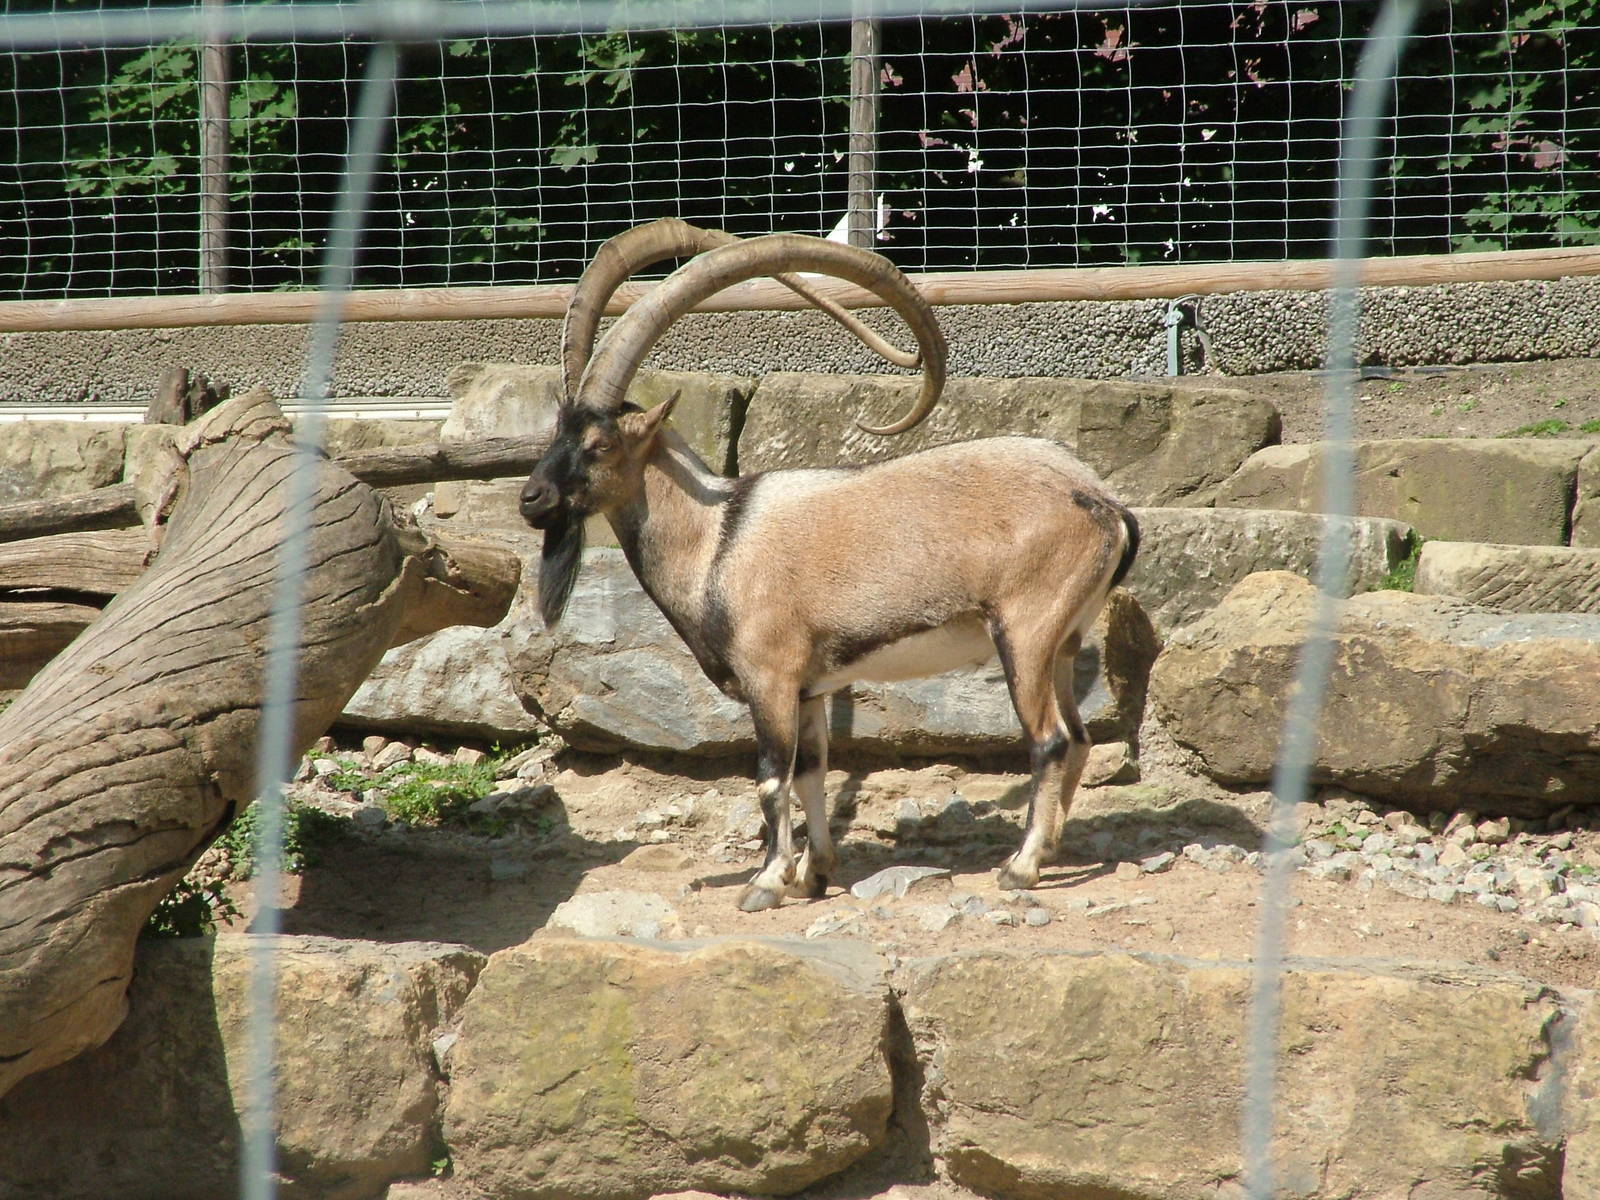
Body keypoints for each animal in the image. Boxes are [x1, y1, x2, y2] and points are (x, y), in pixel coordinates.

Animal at [520, 219, 1139, 911]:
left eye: (600, 444)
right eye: (556, 432)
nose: (532, 499)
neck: (718, 540)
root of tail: (1105, 503)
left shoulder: (770, 677)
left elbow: (772, 776)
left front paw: (765, 883)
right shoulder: (811, 688)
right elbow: (813, 773)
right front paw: (815, 874)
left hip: (1025, 634)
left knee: (1049, 739)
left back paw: (1020, 867)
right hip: (1063, 640)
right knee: (1079, 738)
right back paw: (1050, 850)